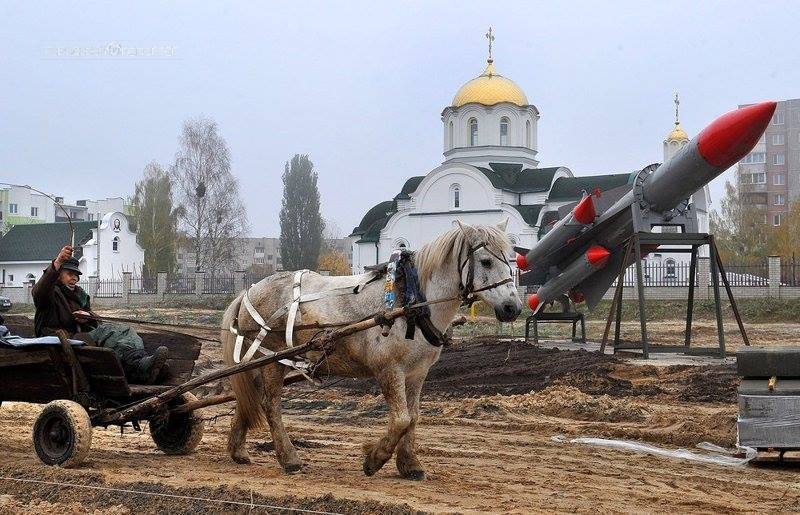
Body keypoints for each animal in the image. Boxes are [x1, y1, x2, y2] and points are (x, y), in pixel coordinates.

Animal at [220, 219, 520, 480]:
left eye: (511, 260)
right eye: (486, 261)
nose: (513, 308)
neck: (410, 302)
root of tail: (249, 290)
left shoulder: (417, 373)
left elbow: (413, 418)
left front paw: (410, 464)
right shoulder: (389, 370)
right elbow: (400, 419)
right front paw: (374, 459)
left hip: (261, 360)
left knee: (248, 398)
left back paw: (237, 450)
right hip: (273, 360)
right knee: (270, 404)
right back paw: (289, 458)